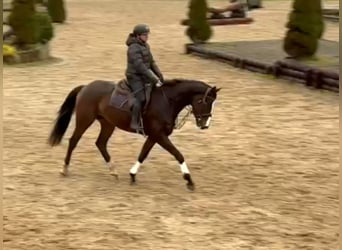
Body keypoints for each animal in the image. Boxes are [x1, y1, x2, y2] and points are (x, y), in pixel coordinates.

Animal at [46, 78, 220, 189]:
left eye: (213, 102)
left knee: (100, 143)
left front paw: (132, 174)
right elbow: (178, 154)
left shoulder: (154, 136)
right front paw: (189, 180)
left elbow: (143, 154)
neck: (166, 101)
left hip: (108, 124)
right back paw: (64, 169)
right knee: (73, 141)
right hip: (84, 120)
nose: (205, 125)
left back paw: (113, 171)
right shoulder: (159, 135)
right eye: (204, 101)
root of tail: (86, 87)